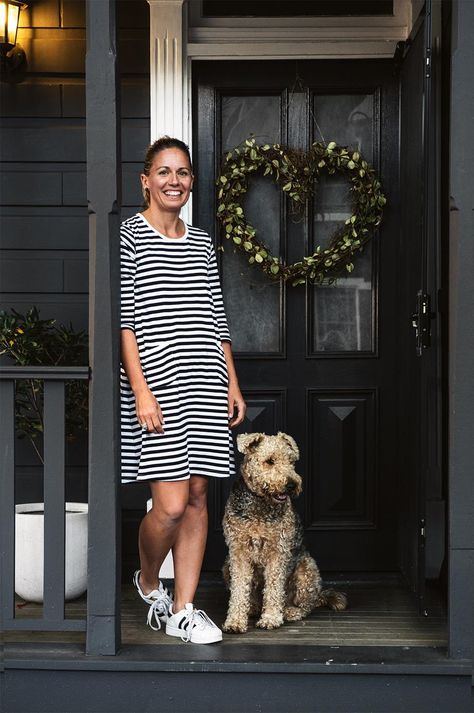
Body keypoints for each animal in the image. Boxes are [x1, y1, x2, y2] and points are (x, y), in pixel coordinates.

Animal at [220, 432, 346, 632]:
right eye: (270, 461)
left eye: (291, 461)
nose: (292, 484)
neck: (260, 506)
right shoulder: (238, 552)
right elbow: (239, 589)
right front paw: (235, 621)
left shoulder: (277, 552)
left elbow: (273, 587)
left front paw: (271, 618)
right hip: (226, 566)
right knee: (254, 598)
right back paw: (253, 608)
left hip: (306, 569)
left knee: (305, 604)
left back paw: (289, 611)